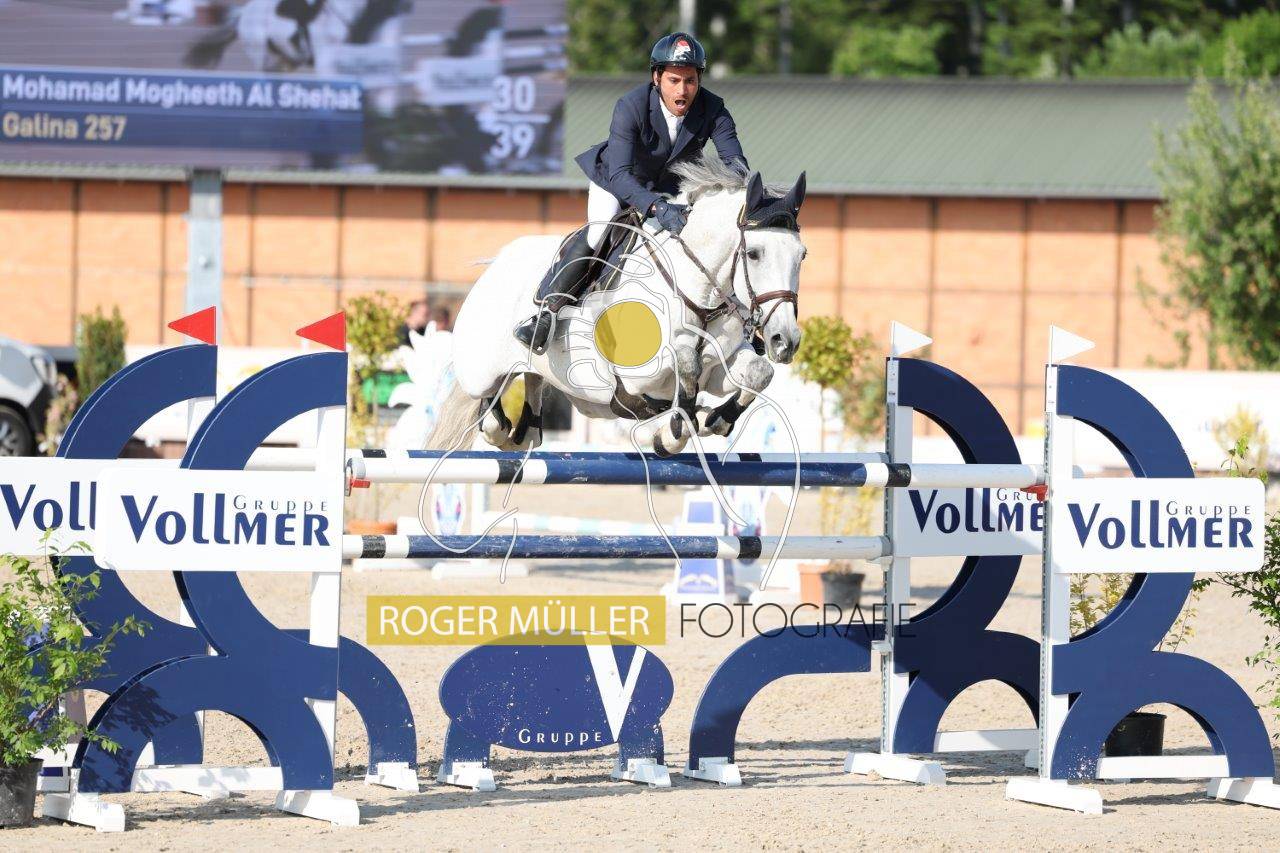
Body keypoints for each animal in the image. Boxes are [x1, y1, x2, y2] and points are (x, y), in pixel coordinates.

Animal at [428, 158, 808, 457]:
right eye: (754, 253)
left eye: (802, 255)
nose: (784, 341)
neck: (698, 297)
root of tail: (497, 263)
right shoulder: (641, 374)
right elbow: (685, 361)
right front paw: (673, 430)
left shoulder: (719, 368)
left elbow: (759, 373)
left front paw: (712, 418)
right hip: (480, 372)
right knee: (489, 411)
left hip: (536, 371)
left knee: (529, 394)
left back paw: (524, 432)